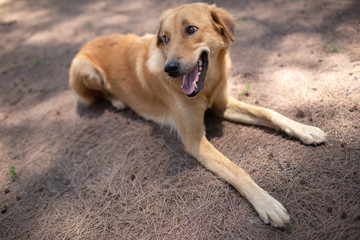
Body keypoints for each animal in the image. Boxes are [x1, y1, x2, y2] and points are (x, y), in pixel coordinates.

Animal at [69, 2, 326, 227]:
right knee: (98, 93)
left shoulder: (222, 105)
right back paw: (117, 100)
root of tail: (88, 41)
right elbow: (236, 169)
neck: (208, 85)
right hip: (85, 71)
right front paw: (267, 203)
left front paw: (306, 130)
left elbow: (269, 112)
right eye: (165, 38)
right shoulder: (195, 140)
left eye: (191, 29)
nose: (170, 69)